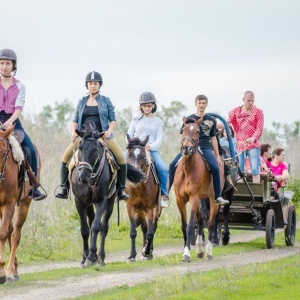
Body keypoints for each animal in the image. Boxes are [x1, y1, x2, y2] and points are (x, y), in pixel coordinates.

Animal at [0, 125, 42, 284]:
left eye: (3, 153)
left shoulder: (9, 203)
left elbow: (3, 233)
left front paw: (2, 273)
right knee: (11, 231)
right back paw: (14, 269)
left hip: (24, 203)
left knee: (15, 234)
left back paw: (11, 272)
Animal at [71, 124, 145, 268]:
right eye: (80, 147)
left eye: (96, 150)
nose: (83, 177)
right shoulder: (80, 201)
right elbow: (84, 229)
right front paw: (84, 258)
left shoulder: (102, 200)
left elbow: (96, 226)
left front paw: (91, 257)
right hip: (89, 203)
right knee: (91, 222)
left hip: (110, 202)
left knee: (103, 227)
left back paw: (100, 257)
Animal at [173, 116, 225, 262]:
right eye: (183, 130)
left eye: (197, 132)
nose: (186, 148)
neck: (188, 169)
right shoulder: (180, 200)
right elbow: (185, 226)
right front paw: (188, 250)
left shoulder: (193, 198)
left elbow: (191, 225)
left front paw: (186, 254)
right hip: (201, 199)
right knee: (201, 220)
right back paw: (200, 250)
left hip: (212, 200)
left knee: (211, 223)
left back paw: (208, 252)